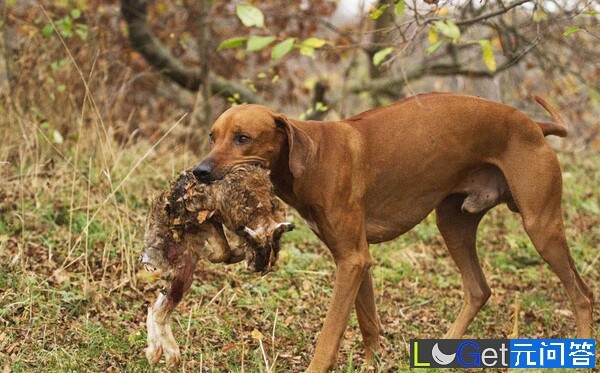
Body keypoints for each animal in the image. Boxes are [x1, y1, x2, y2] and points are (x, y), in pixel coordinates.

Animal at [191, 92, 592, 370]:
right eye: (213, 136)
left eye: (242, 138)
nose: (200, 171)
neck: (311, 156)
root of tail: (534, 126)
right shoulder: (354, 260)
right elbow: (368, 323)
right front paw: (373, 365)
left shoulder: (352, 260)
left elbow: (329, 335)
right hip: (453, 224)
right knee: (479, 289)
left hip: (540, 226)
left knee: (583, 295)